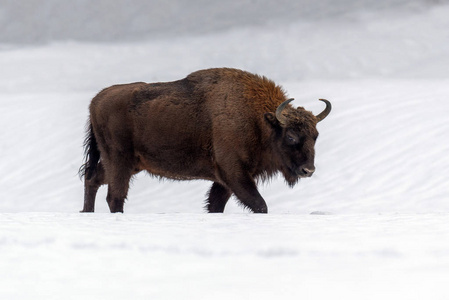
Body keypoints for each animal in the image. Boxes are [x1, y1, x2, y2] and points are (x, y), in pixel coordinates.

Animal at [79, 68, 328, 213]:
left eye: (315, 136)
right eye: (291, 136)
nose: (308, 170)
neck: (259, 120)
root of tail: (96, 100)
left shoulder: (225, 181)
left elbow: (216, 204)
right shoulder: (234, 172)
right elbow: (259, 204)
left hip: (129, 164)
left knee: (93, 180)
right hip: (120, 161)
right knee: (115, 196)